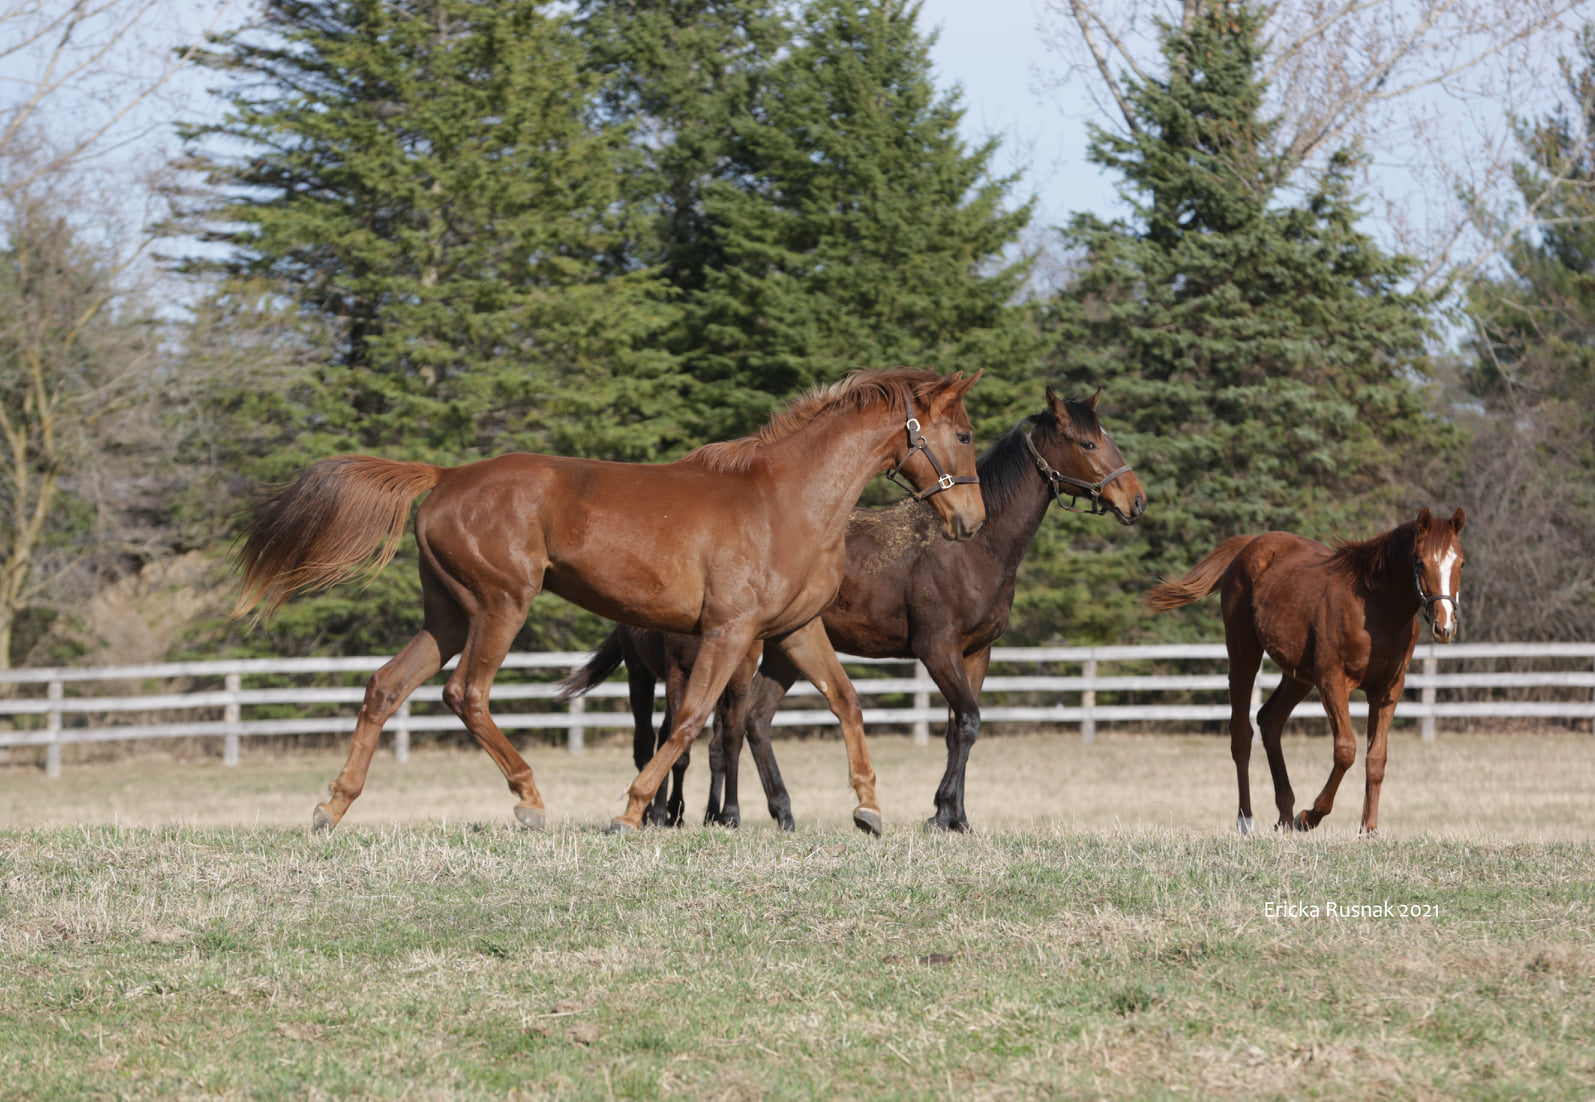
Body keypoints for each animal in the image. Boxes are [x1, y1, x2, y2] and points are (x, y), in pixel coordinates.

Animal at [232, 366, 982, 829]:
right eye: (966, 433)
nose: (970, 522)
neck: (786, 500)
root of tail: (445, 475)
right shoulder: (728, 632)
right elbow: (690, 722)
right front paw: (633, 812)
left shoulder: (796, 631)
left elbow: (846, 702)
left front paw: (869, 809)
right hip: (500, 606)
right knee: (465, 694)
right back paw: (530, 801)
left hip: (447, 616)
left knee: (386, 686)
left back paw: (333, 808)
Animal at [561, 387, 1148, 829]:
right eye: (1087, 441)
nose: (1135, 500)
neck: (974, 547)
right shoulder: (936, 649)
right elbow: (968, 721)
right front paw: (941, 815)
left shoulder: (975, 653)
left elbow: (960, 727)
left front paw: (955, 816)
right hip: (706, 661)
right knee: (699, 733)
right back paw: (697, 814)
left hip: (781, 653)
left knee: (751, 723)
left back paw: (777, 813)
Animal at [1148, 507, 1467, 835]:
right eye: (1421, 562)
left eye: (1461, 562)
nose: (1444, 626)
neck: (1377, 610)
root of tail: (1249, 546)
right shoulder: (1332, 680)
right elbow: (1346, 750)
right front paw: (1310, 815)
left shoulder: (1387, 690)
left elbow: (1376, 757)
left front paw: (1369, 829)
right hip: (1243, 655)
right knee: (1242, 733)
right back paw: (1248, 820)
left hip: (1297, 676)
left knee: (1270, 720)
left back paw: (1285, 817)